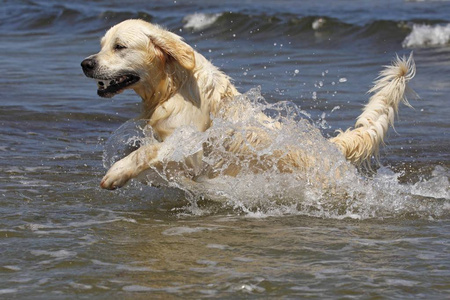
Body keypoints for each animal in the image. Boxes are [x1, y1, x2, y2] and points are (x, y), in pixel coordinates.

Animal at [80, 18, 414, 190]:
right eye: (101, 46)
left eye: (119, 47)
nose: (85, 63)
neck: (172, 88)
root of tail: (329, 147)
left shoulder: (190, 148)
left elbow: (146, 151)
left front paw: (117, 172)